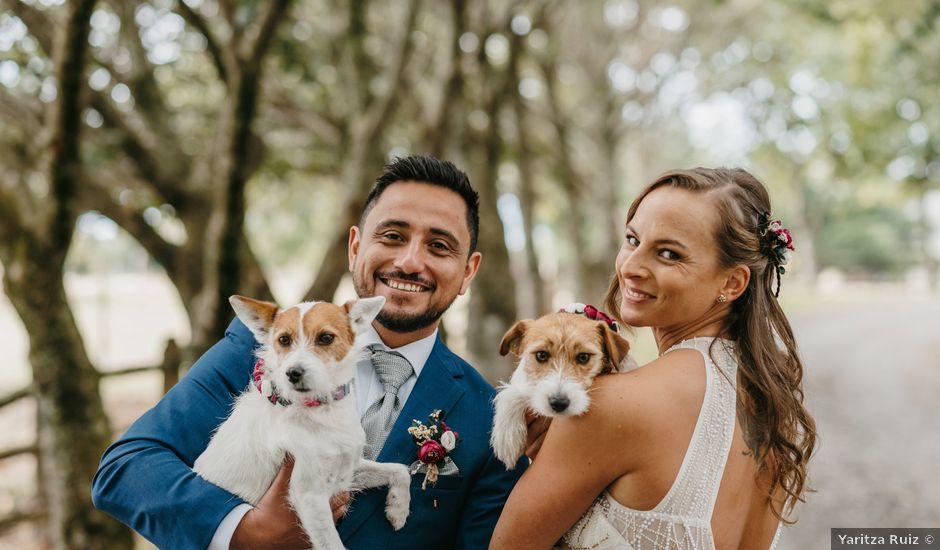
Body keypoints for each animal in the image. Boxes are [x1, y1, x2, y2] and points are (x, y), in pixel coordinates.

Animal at [193, 296, 410, 548]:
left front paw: (398, 508)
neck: (322, 409)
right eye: (284, 340)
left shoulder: (347, 472)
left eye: (325, 338)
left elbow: (399, 469)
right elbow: (332, 544)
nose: (293, 373)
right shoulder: (310, 495)